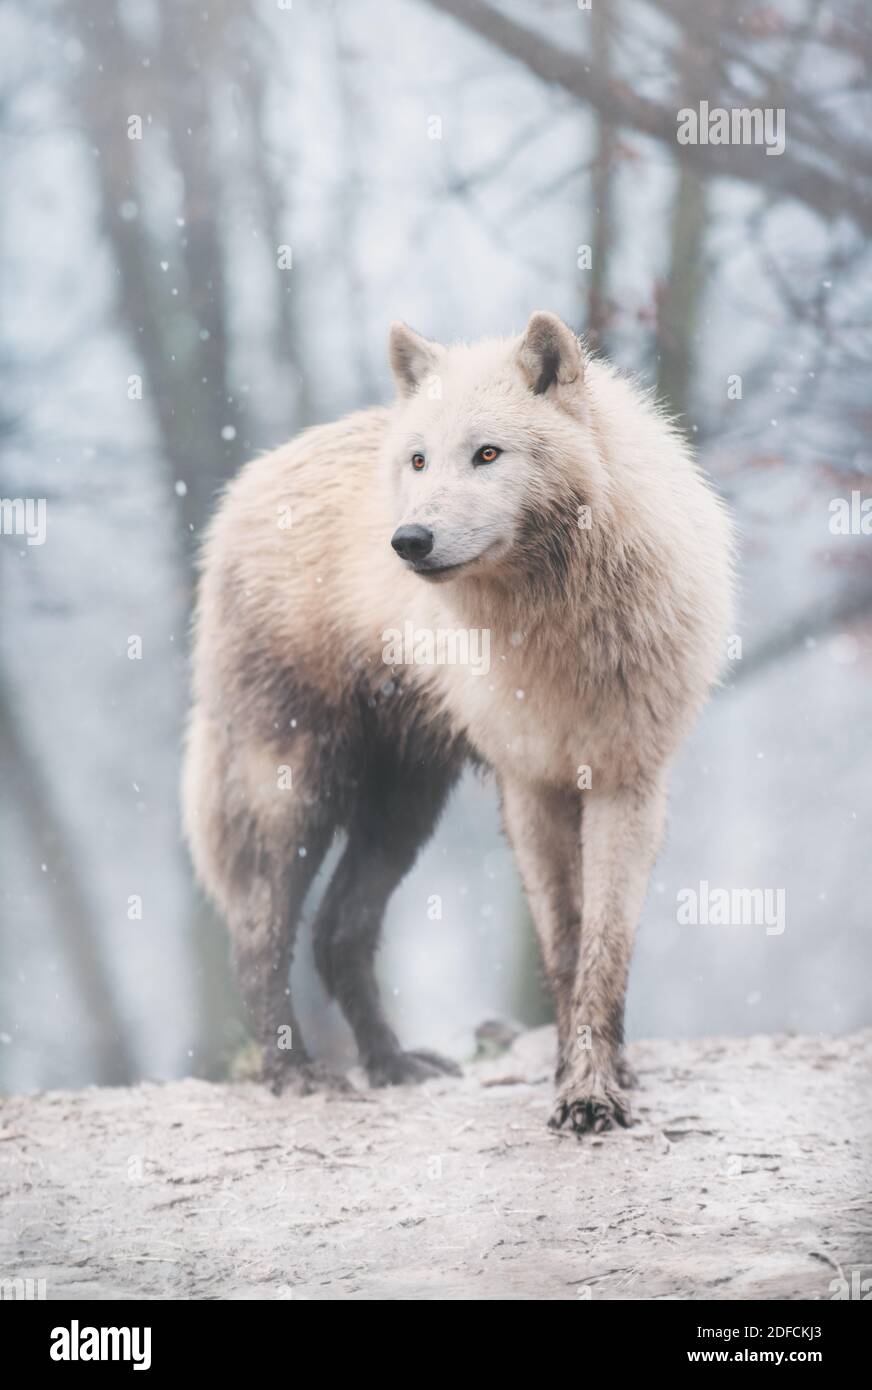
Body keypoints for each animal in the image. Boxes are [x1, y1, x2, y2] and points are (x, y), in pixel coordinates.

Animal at [182, 311, 733, 1135]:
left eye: (487, 454)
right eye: (419, 460)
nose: (408, 540)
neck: (552, 625)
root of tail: (246, 484)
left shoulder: (625, 781)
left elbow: (604, 945)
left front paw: (598, 1084)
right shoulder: (529, 784)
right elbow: (565, 943)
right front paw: (578, 1084)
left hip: (403, 806)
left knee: (337, 932)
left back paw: (390, 1064)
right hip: (296, 792)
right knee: (258, 936)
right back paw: (295, 1074)